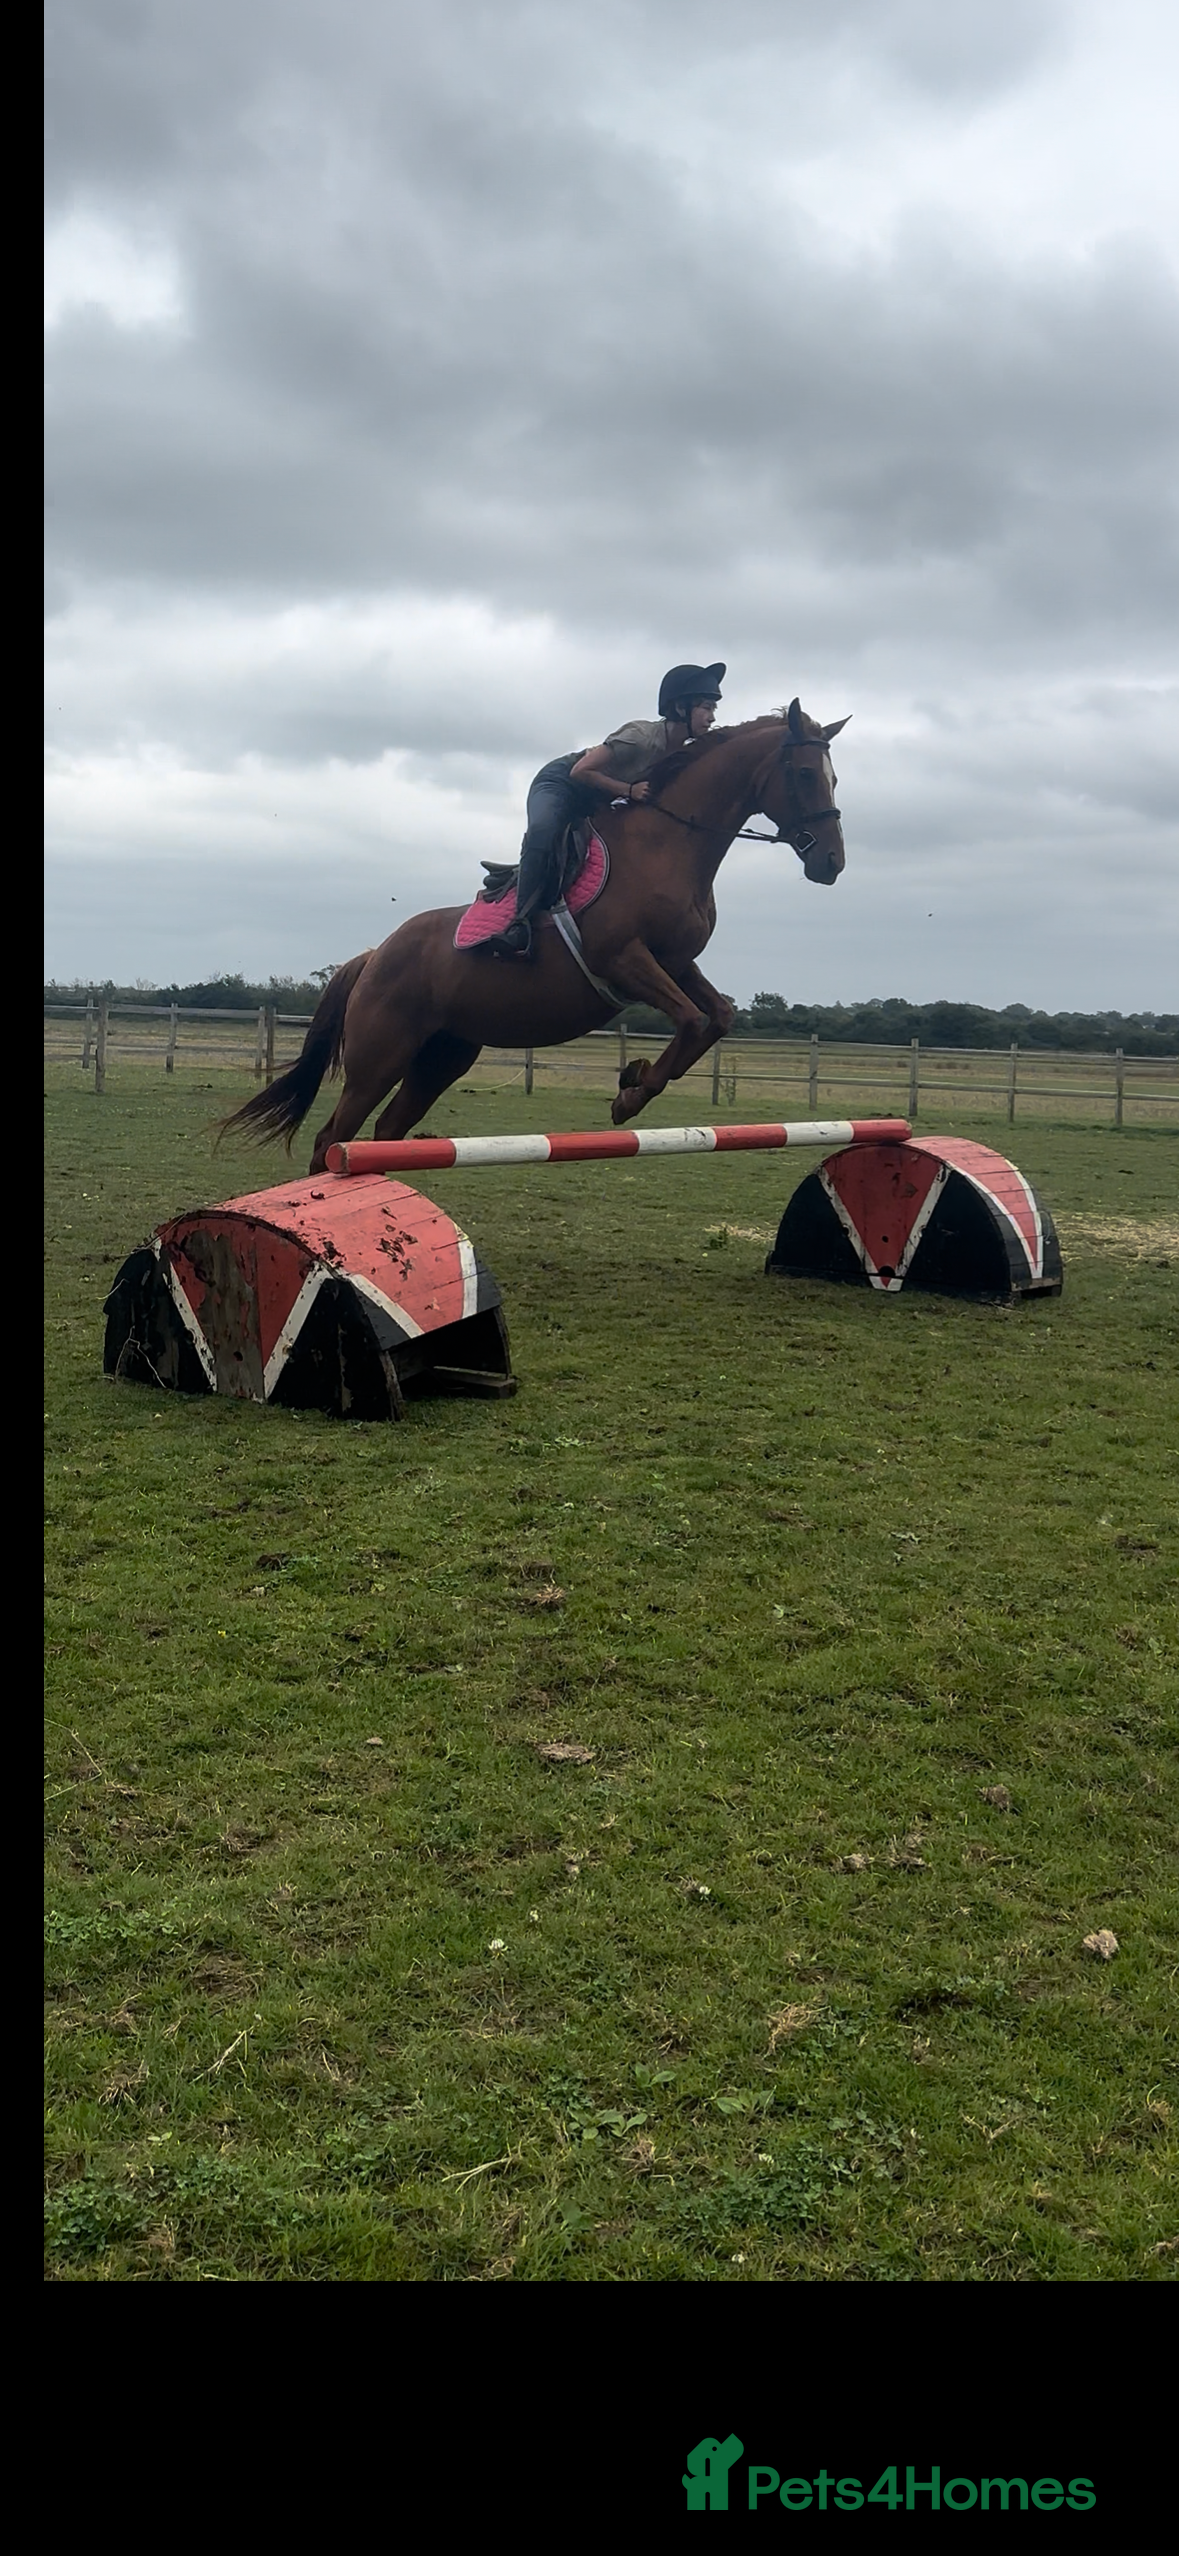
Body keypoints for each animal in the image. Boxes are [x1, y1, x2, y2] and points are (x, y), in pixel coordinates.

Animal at [221, 698, 848, 1174]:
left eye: (834, 776)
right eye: (803, 774)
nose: (832, 864)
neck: (669, 842)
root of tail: (375, 955)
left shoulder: (675, 962)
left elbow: (716, 1017)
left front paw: (635, 1081)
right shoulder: (624, 959)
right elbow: (693, 1020)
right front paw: (630, 1093)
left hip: (442, 1057)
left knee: (386, 1130)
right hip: (381, 1057)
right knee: (333, 1139)